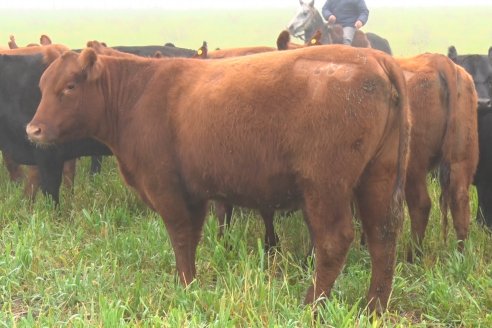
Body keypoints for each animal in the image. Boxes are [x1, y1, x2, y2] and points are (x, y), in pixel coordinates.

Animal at [398, 53, 478, 260]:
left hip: (413, 165)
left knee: (421, 205)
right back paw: (460, 256)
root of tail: (440, 61)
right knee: (460, 202)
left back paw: (412, 257)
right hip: (461, 158)